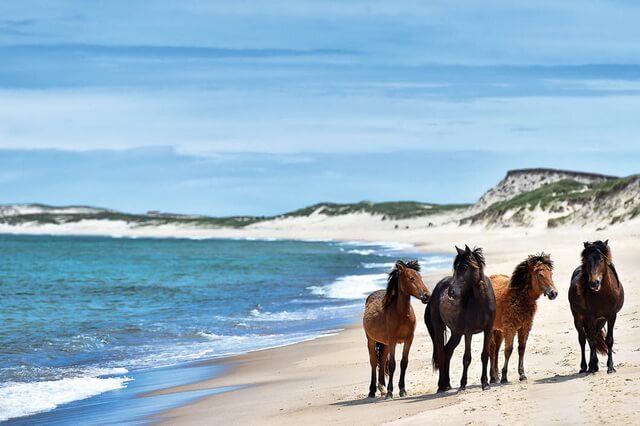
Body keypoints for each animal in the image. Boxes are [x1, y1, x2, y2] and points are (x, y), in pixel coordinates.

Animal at [364, 260, 430, 400]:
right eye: (411, 278)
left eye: (420, 277)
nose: (427, 296)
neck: (401, 314)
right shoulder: (393, 340)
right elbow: (392, 364)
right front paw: (390, 392)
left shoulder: (409, 339)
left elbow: (403, 363)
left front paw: (402, 390)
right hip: (371, 340)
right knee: (374, 362)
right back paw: (372, 391)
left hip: (385, 343)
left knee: (382, 360)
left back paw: (382, 388)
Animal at [428, 245, 498, 392]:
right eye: (456, 267)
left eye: (465, 267)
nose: (451, 292)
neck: (481, 301)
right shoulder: (468, 332)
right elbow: (467, 358)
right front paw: (462, 384)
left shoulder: (488, 330)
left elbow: (485, 355)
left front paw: (485, 383)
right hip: (439, 328)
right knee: (441, 352)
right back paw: (441, 386)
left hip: (456, 333)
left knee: (448, 351)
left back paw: (447, 384)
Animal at [568, 241, 624, 374]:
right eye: (587, 261)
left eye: (601, 260)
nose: (594, 283)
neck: (603, 295)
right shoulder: (591, 317)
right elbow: (592, 341)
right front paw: (592, 366)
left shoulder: (611, 316)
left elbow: (609, 340)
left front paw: (610, 367)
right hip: (578, 318)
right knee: (583, 339)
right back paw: (585, 367)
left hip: (601, 321)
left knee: (591, 337)